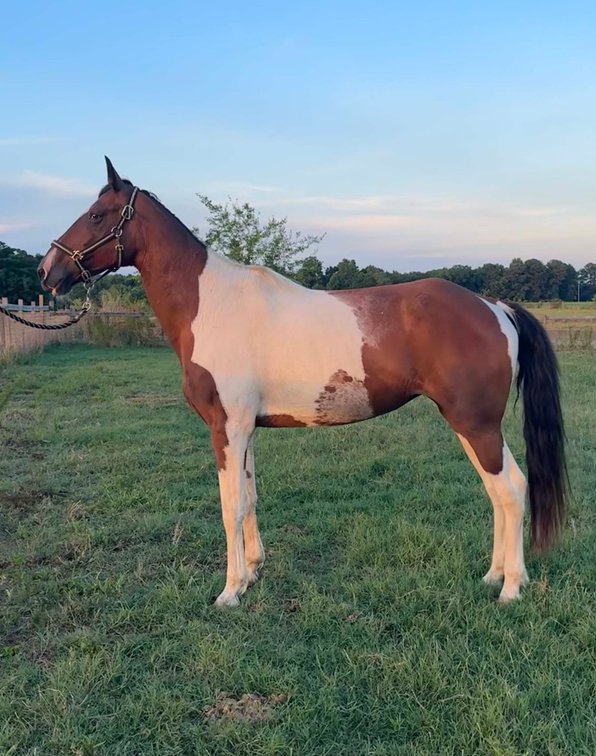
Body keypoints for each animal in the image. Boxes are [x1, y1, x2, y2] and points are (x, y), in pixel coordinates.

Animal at [37, 157, 566, 607]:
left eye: (97, 215)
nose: (47, 271)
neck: (211, 304)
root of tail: (494, 307)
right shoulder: (244, 430)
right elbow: (249, 498)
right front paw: (252, 571)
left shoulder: (225, 428)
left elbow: (230, 505)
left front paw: (230, 591)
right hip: (468, 425)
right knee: (497, 494)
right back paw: (493, 576)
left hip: (475, 424)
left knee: (511, 489)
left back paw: (511, 588)